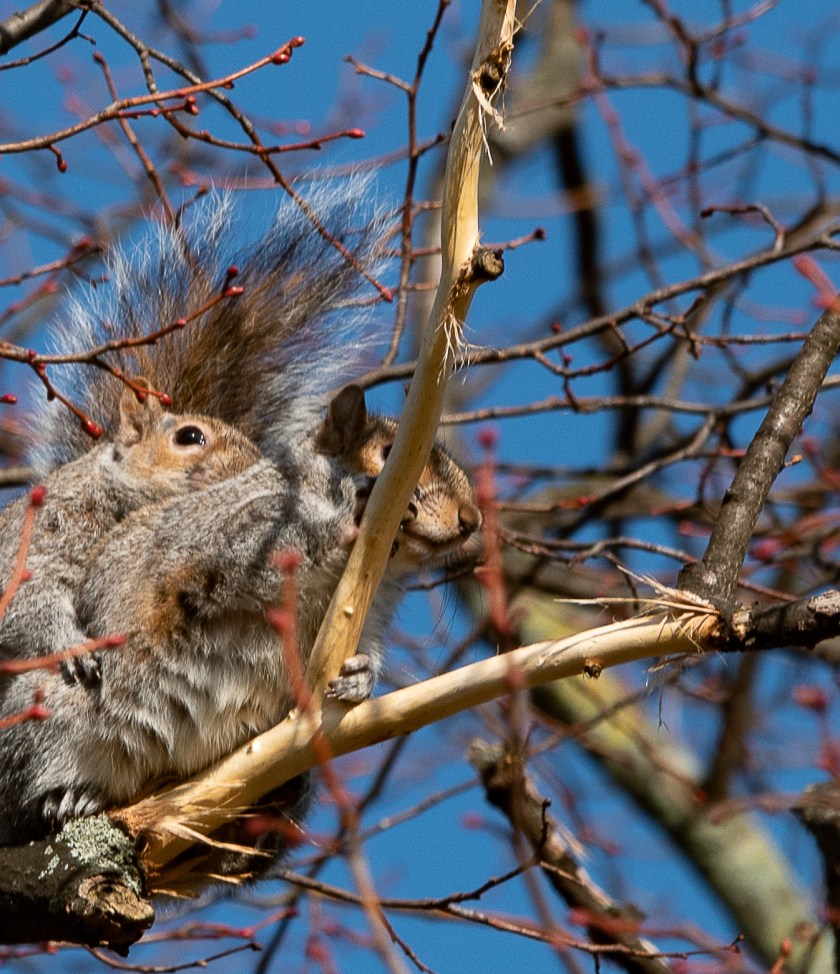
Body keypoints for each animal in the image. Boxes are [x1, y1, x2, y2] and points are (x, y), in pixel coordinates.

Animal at [0, 184, 481, 846]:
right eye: (390, 454)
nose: (471, 520)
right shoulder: (226, 537)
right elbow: (246, 560)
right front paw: (352, 510)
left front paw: (361, 676)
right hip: (50, 707)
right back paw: (66, 795)